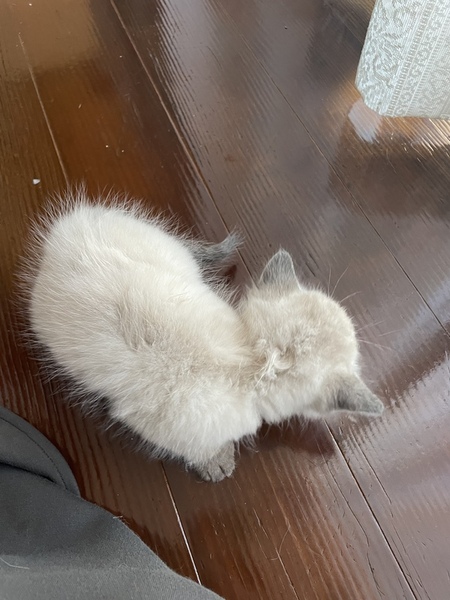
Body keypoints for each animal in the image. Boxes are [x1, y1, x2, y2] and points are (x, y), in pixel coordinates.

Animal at [28, 192, 384, 482]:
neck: (251, 362)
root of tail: (64, 229)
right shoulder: (154, 424)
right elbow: (198, 448)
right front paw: (218, 461)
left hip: (164, 248)